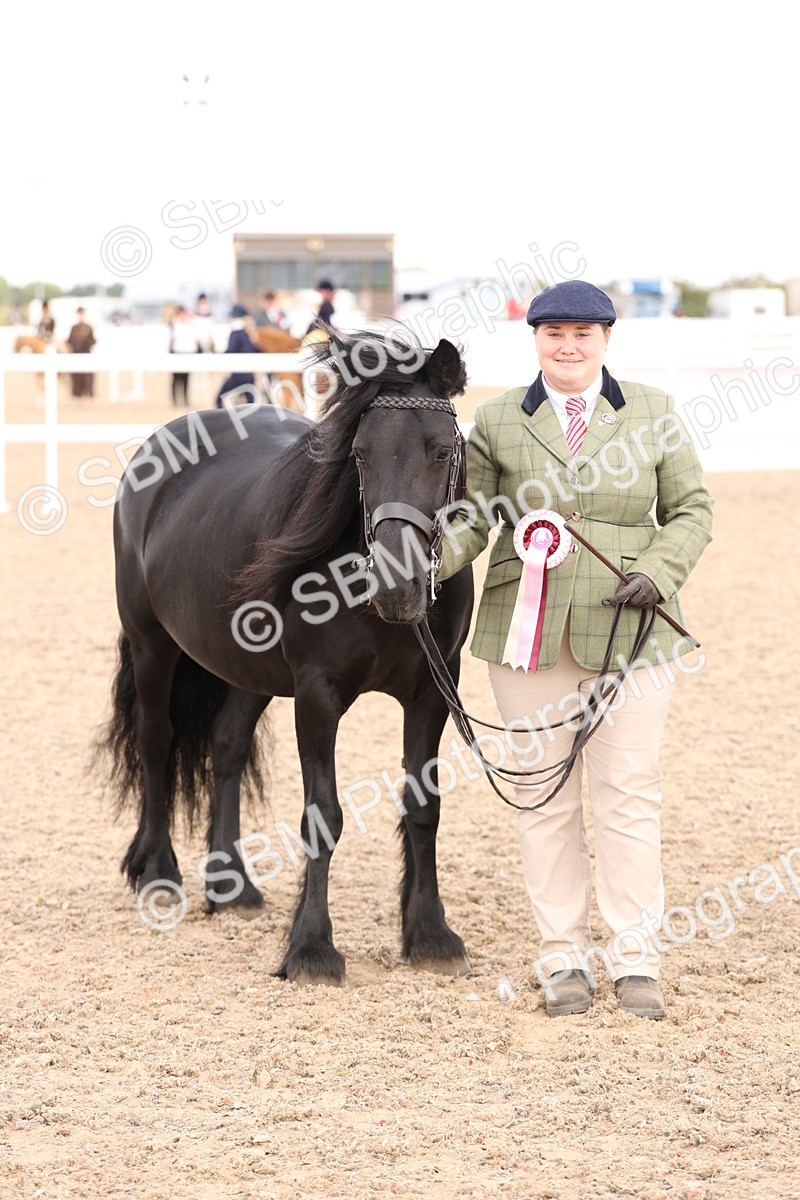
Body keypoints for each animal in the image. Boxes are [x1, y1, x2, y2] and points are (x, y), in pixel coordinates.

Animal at [99, 326, 474, 984]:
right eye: (360, 454)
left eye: (439, 450)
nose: (396, 585)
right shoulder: (318, 695)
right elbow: (323, 815)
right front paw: (312, 947)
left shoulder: (434, 690)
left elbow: (423, 807)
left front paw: (429, 934)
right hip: (151, 644)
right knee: (156, 740)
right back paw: (160, 871)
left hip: (246, 669)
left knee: (225, 746)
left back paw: (231, 884)